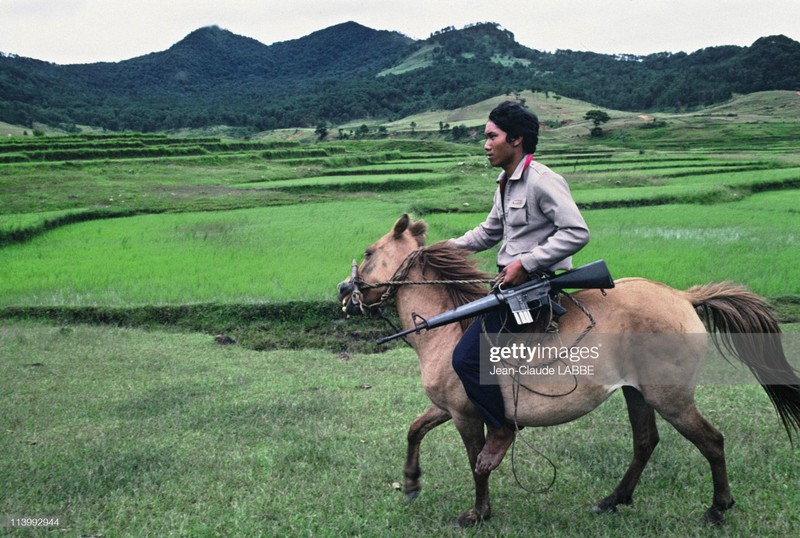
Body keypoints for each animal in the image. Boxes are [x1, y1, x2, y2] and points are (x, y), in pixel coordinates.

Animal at [336, 213, 800, 524]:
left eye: (369, 253)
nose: (343, 290)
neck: (447, 327)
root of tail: (684, 297)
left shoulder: (468, 414)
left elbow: (477, 462)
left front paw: (478, 512)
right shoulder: (448, 407)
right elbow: (414, 429)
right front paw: (412, 482)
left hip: (670, 397)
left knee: (712, 441)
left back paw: (717, 509)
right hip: (638, 392)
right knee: (645, 443)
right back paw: (613, 500)